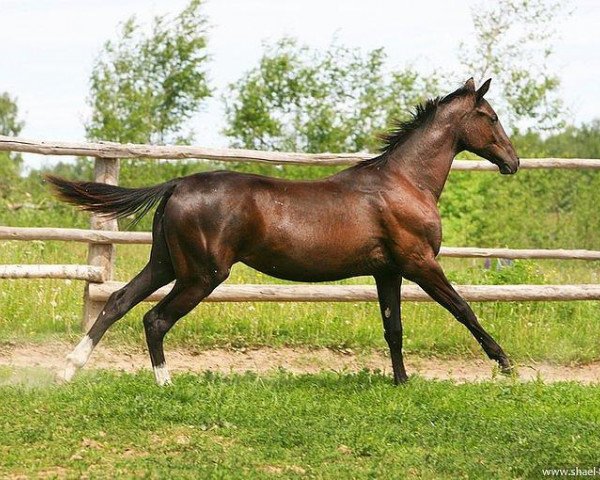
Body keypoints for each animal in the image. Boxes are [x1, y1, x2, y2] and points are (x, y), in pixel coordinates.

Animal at [47, 79, 516, 386]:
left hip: (165, 264)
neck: (404, 182)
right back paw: (165, 383)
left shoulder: (388, 270)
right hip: (201, 275)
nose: (512, 162)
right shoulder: (420, 263)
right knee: (154, 318)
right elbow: (464, 309)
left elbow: (393, 328)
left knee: (117, 302)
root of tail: (177, 184)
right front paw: (507, 365)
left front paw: (401, 382)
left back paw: (68, 370)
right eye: (491, 117)